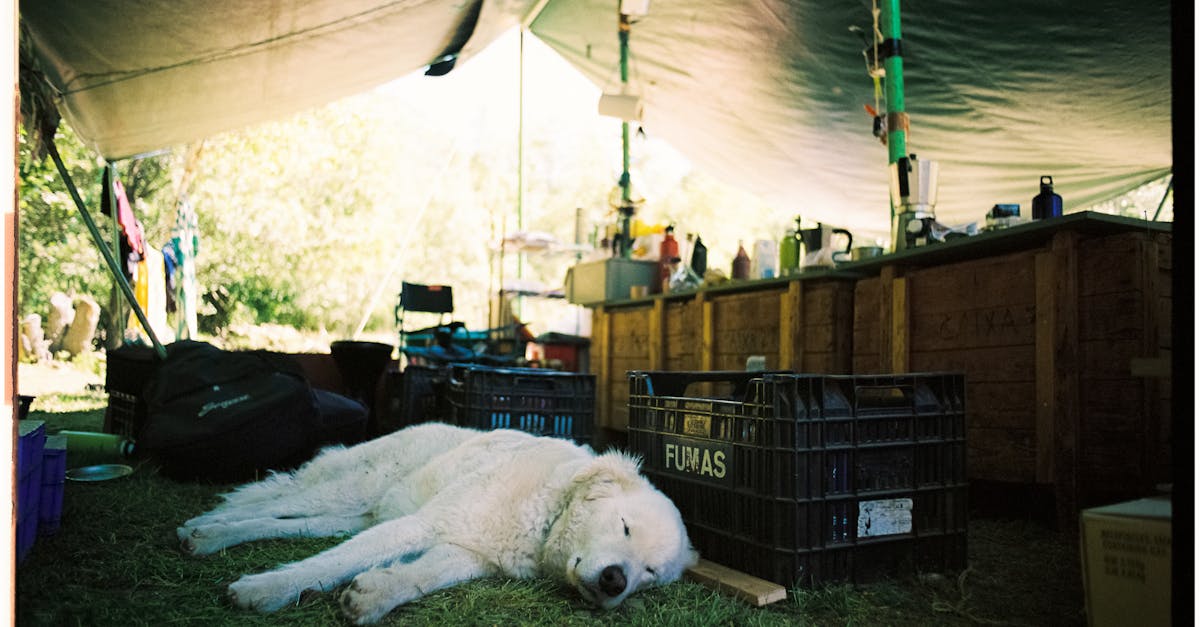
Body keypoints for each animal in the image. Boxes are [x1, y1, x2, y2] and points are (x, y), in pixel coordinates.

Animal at [175, 420, 696, 619]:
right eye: (623, 526)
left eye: (650, 573)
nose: (614, 581)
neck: (547, 514)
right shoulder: (424, 525)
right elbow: (326, 565)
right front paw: (264, 590)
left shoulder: (465, 554)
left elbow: (420, 577)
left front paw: (375, 595)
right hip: (351, 488)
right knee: (272, 496)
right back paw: (204, 527)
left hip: (348, 516)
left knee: (285, 520)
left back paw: (212, 532)